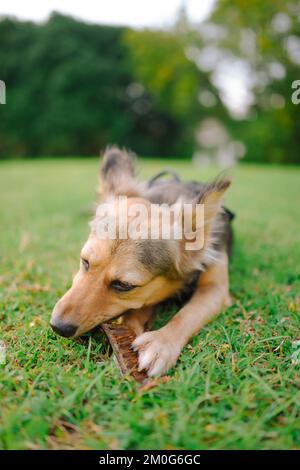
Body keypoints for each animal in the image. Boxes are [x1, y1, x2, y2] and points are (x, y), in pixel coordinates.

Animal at [50, 149, 234, 376]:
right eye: (85, 261)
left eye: (124, 285)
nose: (57, 326)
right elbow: (136, 311)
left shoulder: (215, 288)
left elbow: (188, 313)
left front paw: (161, 343)